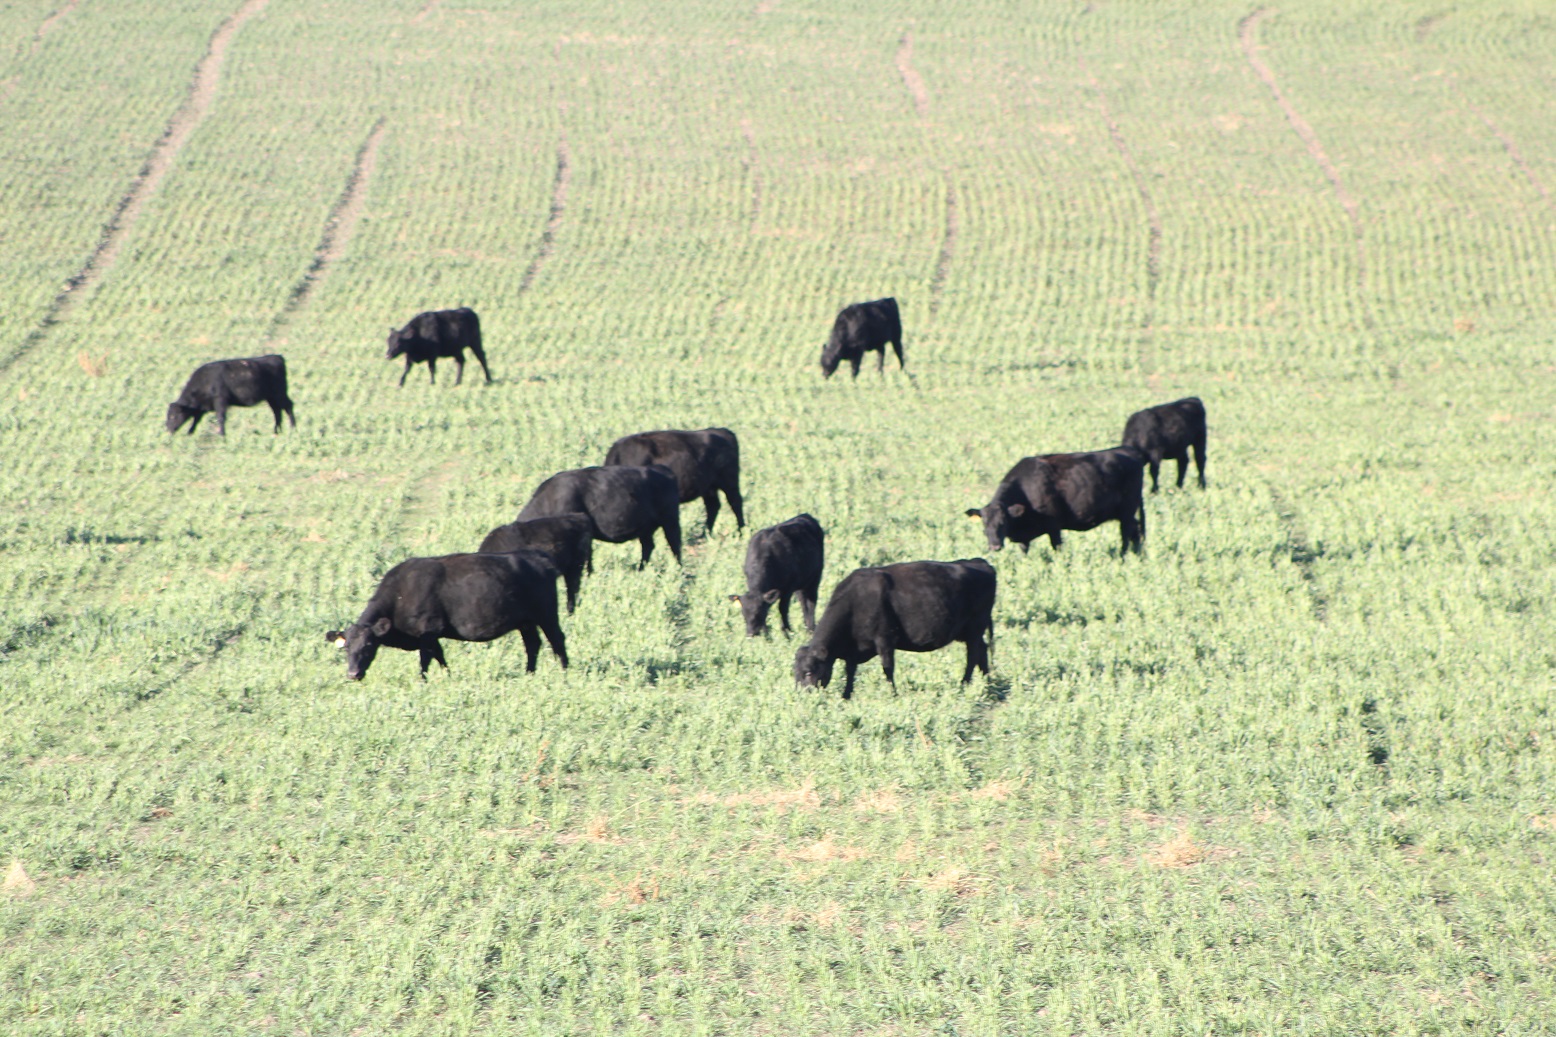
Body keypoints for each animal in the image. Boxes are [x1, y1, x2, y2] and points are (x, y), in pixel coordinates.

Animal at [325, 548, 569, 678]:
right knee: (533, 644)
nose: (353, 674)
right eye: (346, 647)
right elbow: (439, 656)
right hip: (525, 621)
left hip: (547, 614)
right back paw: (529, 673)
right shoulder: (432, 635)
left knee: (557, 640)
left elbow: (425, 660)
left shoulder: (428, 630)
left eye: (368, 645)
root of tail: (539, 559)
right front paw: (447, 676)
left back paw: (565, 672)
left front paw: (423, 682)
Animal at [516, 464, 681, 569]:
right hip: (645, 528)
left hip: (670, 520)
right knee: (648, 546)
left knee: (675, 544)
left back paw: (679, 570)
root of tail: (663, 469)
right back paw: (641, 570)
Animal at [600, 423, 746, 529]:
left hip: (729, 482)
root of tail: (722, 431)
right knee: (713, 506)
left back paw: (740, 530)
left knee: (735, 502)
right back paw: (705, 534)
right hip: (709, 487)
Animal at [790, 554, 995, 697]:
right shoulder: (852, 650)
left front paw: (893, 693)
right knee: (982, 650)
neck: (856, 601)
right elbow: (850, 671)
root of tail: (979, 563)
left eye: (808, 672)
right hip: (970, 631)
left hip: (975, 627)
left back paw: (965, 683)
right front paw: (846, 695)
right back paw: (988, 682)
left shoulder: (885, 639)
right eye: (795, 673)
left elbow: (887, 668)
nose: (803, 696)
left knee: (973, 654)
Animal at [964, 445, 1151, 554]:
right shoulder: (1024, 537)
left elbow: (1057, 549)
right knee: (1136, 533)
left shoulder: (1054, 526)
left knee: (1126, 534)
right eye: (984, 524)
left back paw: (1123, 557)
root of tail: (1129, 450)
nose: (994, 546)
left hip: (1127, 511)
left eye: (1003, 522)